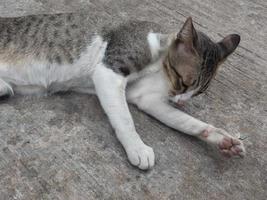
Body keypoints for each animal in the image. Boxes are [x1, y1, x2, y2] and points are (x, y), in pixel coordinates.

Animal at [0, 12, 246, 170]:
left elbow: (188, 122)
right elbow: (125, 120)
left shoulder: (145, 97)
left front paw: (222, 139)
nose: (181, 101)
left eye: (199, 92)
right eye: (183, 81)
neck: (160, 60)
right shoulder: (109, 72)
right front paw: (137, 148)